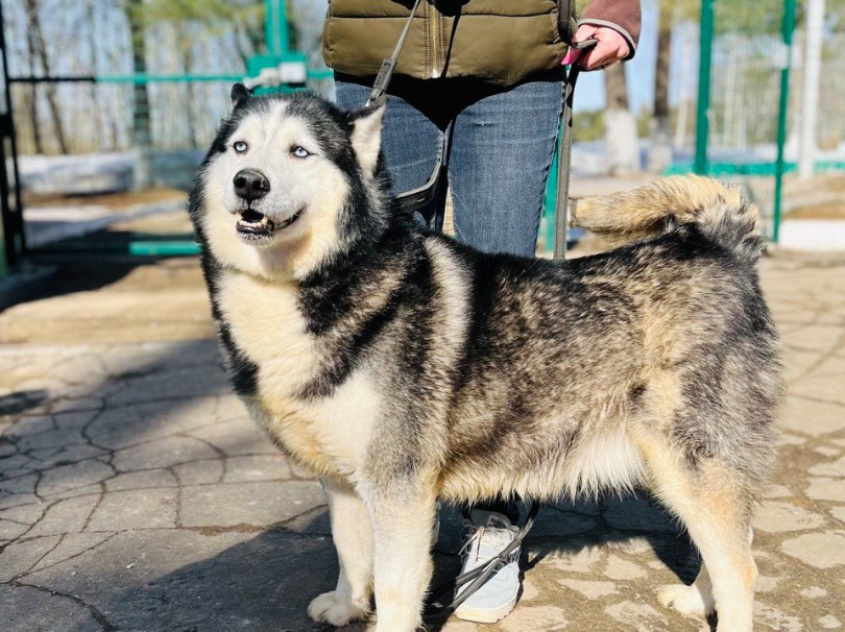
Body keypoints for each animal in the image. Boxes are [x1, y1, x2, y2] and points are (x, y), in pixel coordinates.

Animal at [190, 85, 780, 632]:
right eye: (240, 147)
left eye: (300, 151)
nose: (249, 181)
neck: (327, 280)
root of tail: (721, 245)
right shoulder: (342, 477)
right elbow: (349, 549)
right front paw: (346, 605)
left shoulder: (399, 484)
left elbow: (397, 585)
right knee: (734, 541)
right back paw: (696, 599)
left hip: (689, 461)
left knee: (742, 564)